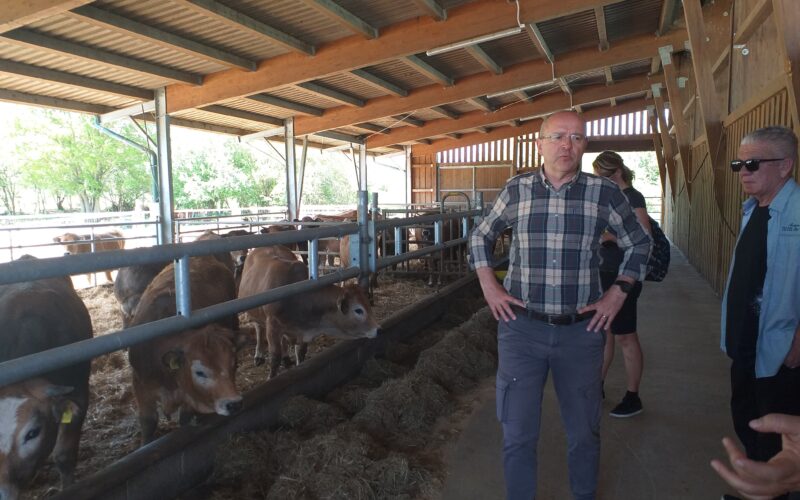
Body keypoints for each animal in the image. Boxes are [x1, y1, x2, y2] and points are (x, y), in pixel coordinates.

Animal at [127, 253, 248, 445]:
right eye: (199, 372)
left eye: (234, 365)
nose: (234, 403)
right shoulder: (140, 385)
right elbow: (148, 423)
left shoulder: (188, 398)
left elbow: (184, 420)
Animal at [238, 245, 379, 378]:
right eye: (358, 310)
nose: (377, 329)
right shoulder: (272, 326)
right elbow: (275, 357)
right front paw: (271, 377)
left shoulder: (301, 332)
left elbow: (301, 353)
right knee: (258, 329)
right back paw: (259, 355)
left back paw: (286, 358)